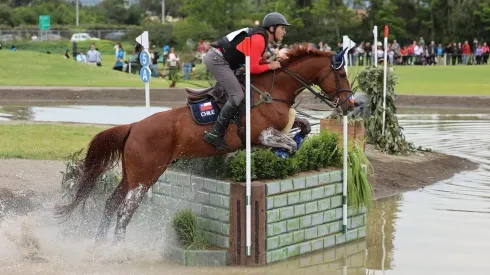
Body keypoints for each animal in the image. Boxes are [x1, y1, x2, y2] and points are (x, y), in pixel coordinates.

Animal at [54, 44, 356, 245]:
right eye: (341, 75)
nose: (349, 105)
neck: (274, 90)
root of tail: (134, 127)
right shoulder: (261, 134)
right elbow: (289, 144)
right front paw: (281, 153)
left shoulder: (278, 128)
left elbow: (303, 127)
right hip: (145, 177)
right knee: (124, 212)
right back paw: (117, 250)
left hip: (132, 175)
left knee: (110, 204)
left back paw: (99, 244)